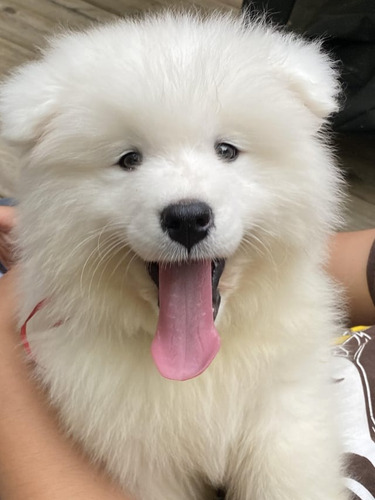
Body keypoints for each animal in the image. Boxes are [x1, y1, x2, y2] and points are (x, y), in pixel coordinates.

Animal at [0, 8, 348, 500]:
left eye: (227, 150)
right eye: (129, 159)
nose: (186, 217)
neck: (197, 372)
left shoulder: (286, 411)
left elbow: (290, 478)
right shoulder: (142, 460)